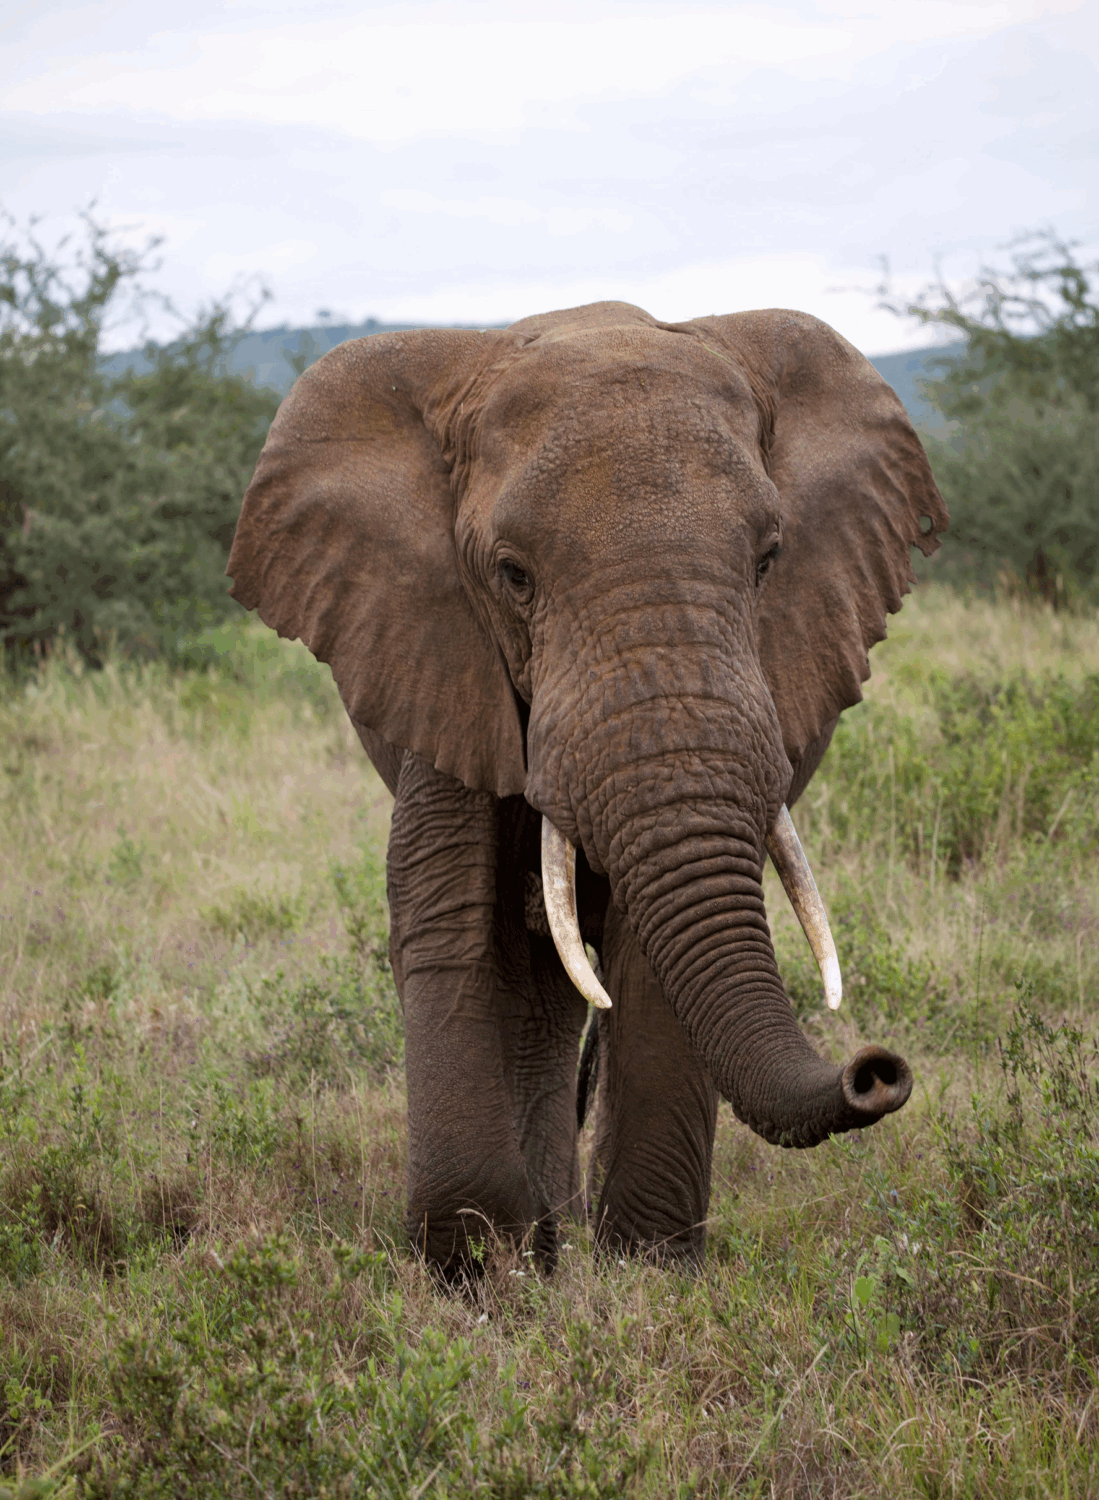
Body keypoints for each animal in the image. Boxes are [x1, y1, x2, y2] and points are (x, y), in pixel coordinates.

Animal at [227, 300, 947, 1274]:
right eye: (512, 575)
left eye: (768, 561)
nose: (874, 1071)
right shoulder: (437, 649)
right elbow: (448, 913)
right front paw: (473, 1271)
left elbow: (654, 958)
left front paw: (646, 1270)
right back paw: (539, 1241)